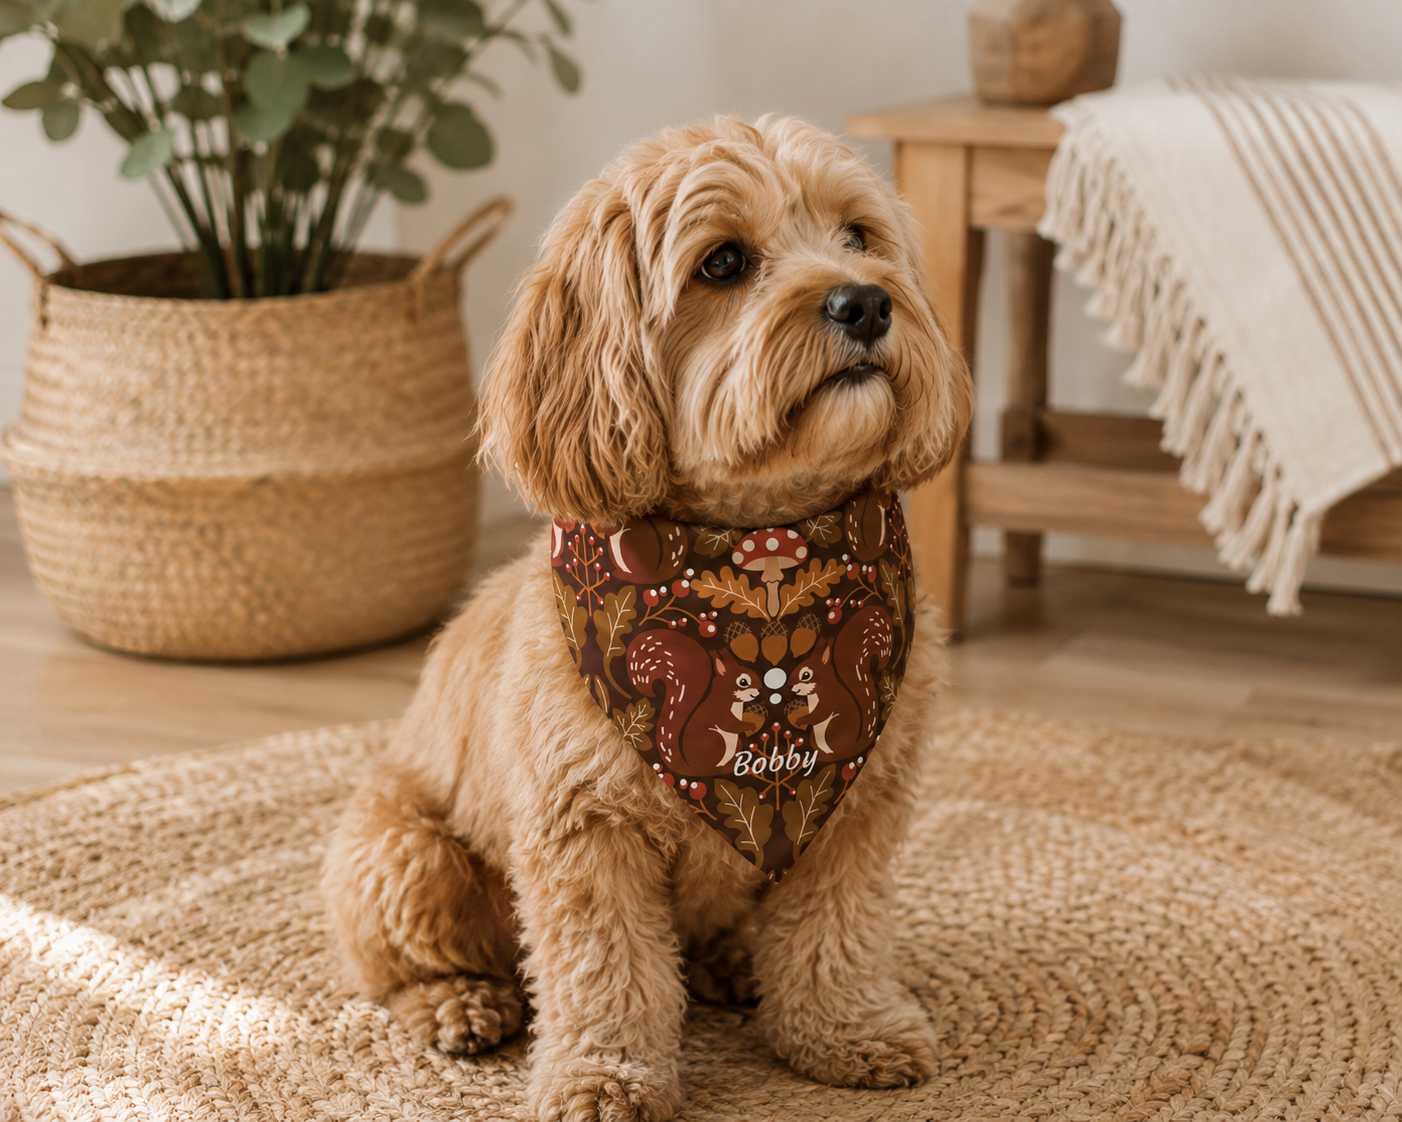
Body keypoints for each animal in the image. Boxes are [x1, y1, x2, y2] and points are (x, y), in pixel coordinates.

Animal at [626, 631, 759, 777]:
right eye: (743, 681)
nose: (758, 691)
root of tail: (690, 768)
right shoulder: (720, 712)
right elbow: (732, 725)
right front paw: (750, 725)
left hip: (737, 743)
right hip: (716, 740)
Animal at [788, 604, 894, 758]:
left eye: (805, 674)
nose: (791, 686)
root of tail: (852, 749)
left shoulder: (828, 701)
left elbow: (818, 714)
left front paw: (800, 719)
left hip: (832, 726)